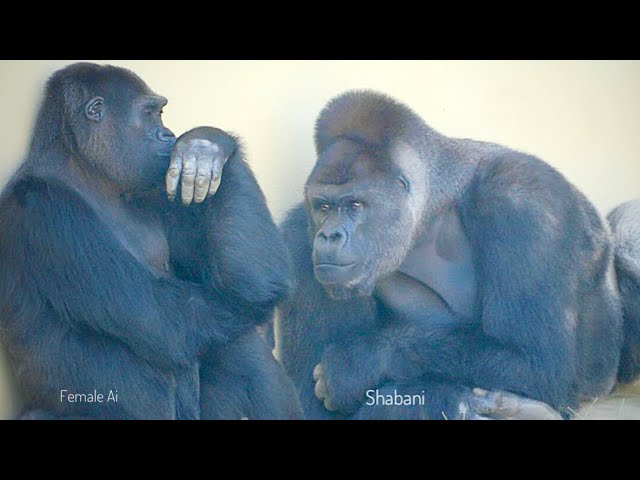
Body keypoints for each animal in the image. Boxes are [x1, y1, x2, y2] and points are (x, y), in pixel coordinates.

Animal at [0, 63, 302, 420]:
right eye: (149, 114)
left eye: (161, 114)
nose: (169, 135)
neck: (85, 168)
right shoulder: (48, 212)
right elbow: (171, 320)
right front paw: (204, 145)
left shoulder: (159, 186)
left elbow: (238, 279)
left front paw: (208, 146)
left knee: (239, 339)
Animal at [276, 91, 636, 420]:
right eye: (323, 207)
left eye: (354, 204)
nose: (328, 236)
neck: (433, 207)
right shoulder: (298, 239)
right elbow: (309, 405)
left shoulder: (523, 200)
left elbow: (535, 361)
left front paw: (363, 360)